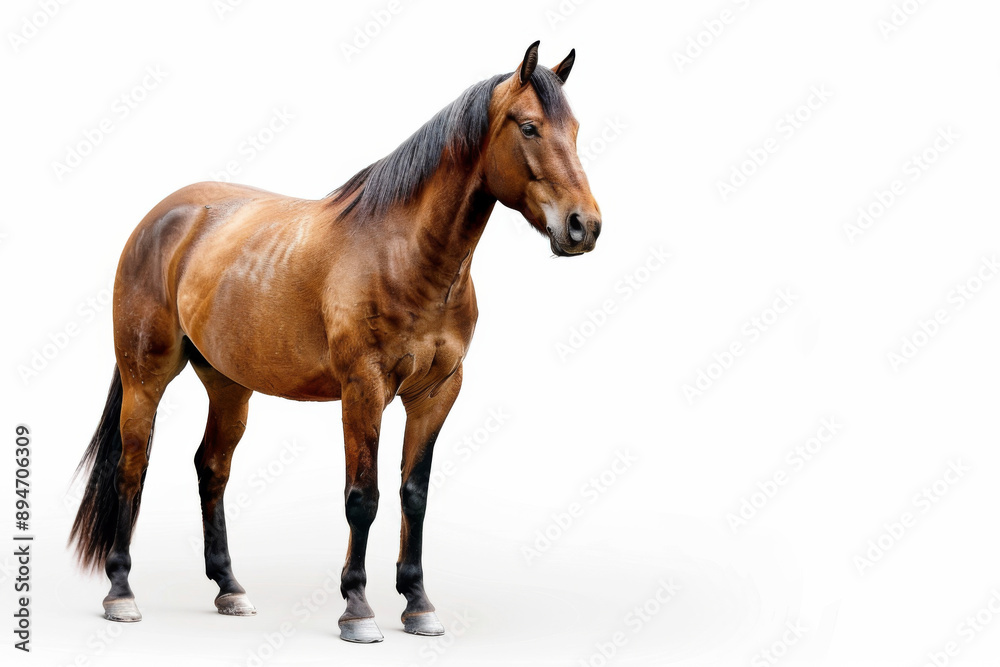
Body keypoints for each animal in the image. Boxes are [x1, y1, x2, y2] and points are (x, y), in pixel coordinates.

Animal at [69, 41, 601, 643]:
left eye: (575, 129)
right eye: (530, 127)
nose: (584, 226)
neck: (404, 253)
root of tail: (161, 217)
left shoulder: (437, 391)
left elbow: (413, 495)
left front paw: (418, 603)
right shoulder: (363, 389)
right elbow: (362, 498)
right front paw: (358, 610)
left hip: (227, 384)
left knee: (212, 467)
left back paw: (229, 588)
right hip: (146, 377)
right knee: (132, 468)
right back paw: (120, 593)